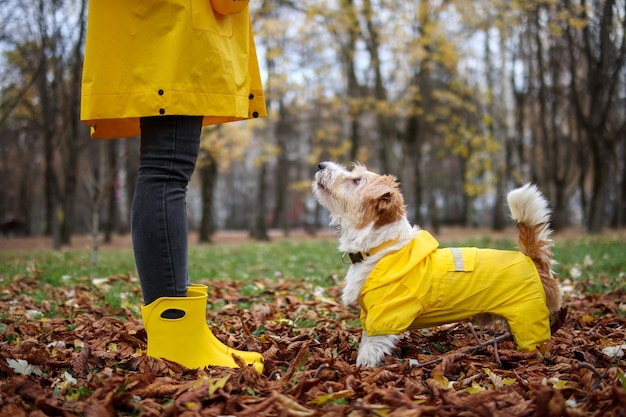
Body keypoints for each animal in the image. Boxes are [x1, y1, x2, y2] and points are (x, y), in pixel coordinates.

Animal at [312, 161, 560, 366]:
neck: (380, 248)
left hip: (528, 320)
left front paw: (361, 371)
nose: (321, 164)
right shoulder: (370, 316)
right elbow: (364, 340)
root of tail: (532, 260)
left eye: (356, 180)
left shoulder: (384, 318)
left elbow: (368, 351)